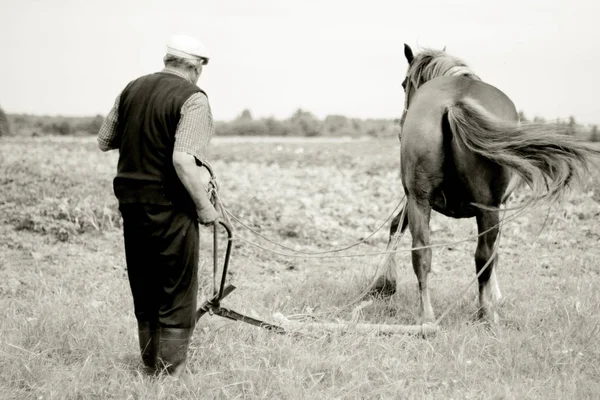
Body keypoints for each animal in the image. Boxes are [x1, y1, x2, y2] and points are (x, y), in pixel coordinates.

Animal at [370, 44, 600, 324]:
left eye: (404, 84)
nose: (400, 127)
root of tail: (455, 102)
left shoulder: (417, 197)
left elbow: (396, 226)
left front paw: (383, 283)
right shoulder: (500, 204)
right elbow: (496, 251)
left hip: (421, 199)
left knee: (423, 252)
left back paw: (428, 316)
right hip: (483, 206)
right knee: (482, 255)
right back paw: (486, 313)